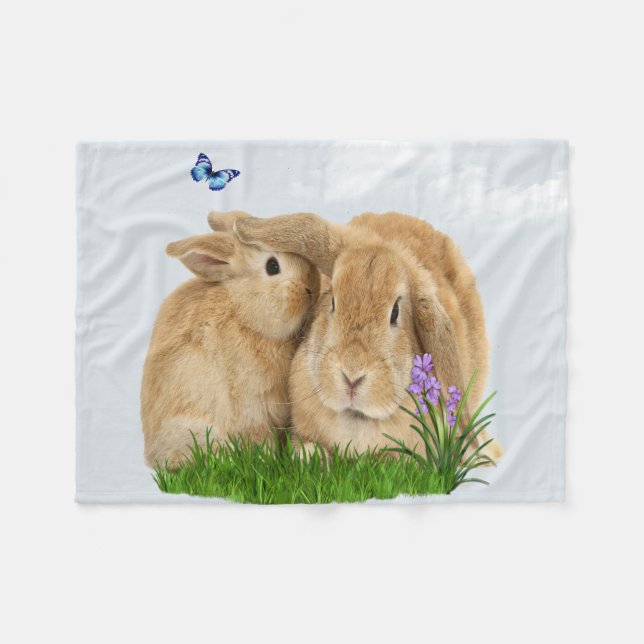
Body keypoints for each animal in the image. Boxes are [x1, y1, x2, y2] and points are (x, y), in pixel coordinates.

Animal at [140, 211, 320, 469]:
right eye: (273, 266)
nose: (311, 288)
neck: (244, 314)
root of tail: (153, 454)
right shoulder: (254, 407)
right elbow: (260, 440)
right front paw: (268, 461)